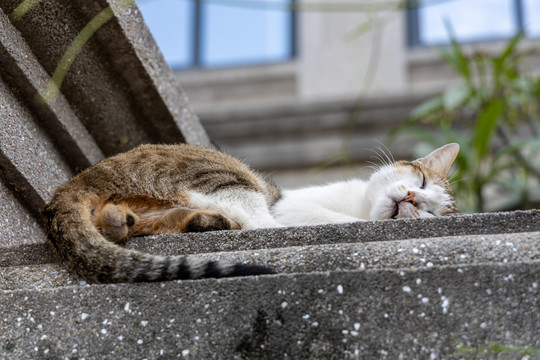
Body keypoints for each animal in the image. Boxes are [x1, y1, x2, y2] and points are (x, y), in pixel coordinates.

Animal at [41, 142, 460, 282]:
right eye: (422, 181)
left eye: (430, 213)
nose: (411, 198)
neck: (358, 205)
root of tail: (77, 180)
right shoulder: (292, 208)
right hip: (228, 175)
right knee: (255, 218)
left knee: (118, 224)